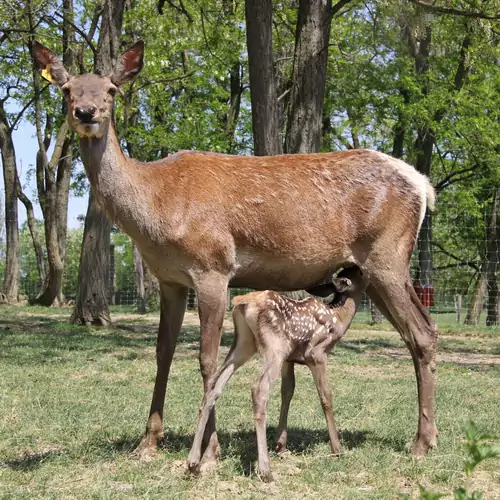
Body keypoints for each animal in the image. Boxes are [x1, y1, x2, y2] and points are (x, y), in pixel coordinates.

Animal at [187, 266, 368, 480]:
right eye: (359, 273)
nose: (364, 269)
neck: (338, 318)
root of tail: (243, 302)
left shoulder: (289, 360)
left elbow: (287, 391)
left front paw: (281, 445)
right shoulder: (317, 354)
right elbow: (326, 397)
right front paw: (337, 449)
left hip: (244, 344)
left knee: (214, 386)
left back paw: (193, 463)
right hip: (275, 347)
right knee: (259, 388)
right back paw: (265, 469)